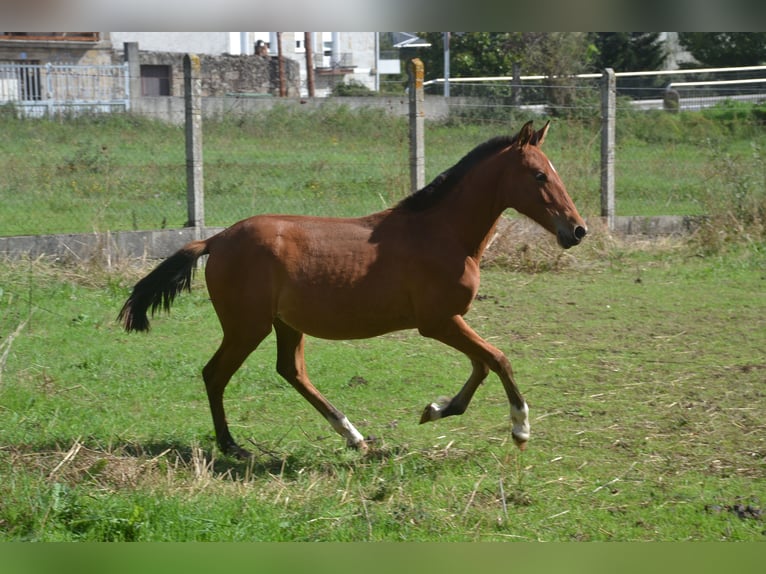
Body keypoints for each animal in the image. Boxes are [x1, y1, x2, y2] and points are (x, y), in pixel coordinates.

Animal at [118, 120, 588, 460]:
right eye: (539, 175)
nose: (578, 231)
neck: (442, 233)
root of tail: (215, 239)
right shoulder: (437, 322)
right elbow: (498, 358)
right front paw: (520, 428)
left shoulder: (448, 321)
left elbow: (482, 364)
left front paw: (436, 410)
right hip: (246, 326)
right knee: (215, 374)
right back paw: (234, 447)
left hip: (285, 324)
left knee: (291, 371)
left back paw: (354, 437)